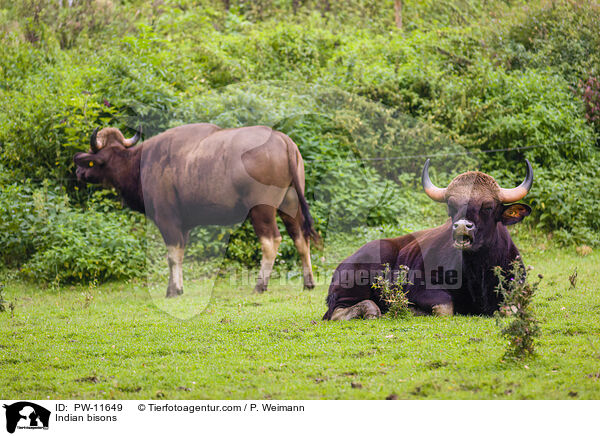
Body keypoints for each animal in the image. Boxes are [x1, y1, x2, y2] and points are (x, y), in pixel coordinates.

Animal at [74, 124, 318, 298]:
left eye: (92, 162)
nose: (77, 171)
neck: (140, 164)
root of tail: (283, 140)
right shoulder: (184, 226)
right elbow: (181, 254)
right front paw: (178, 288)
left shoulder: (167, 221)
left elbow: (172, 256)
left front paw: (173, 291)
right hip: (290, 206)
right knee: (300, 238)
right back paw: (308, 283)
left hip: (262, 209)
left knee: (271, 241)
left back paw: (260, 286)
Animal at [324, 158, 536, 318]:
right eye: (451, 205)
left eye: (488, 206)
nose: (462, 226)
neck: (479, 270)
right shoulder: (419, 287)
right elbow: (445, 306)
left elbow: (511, 309)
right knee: (336, 312)